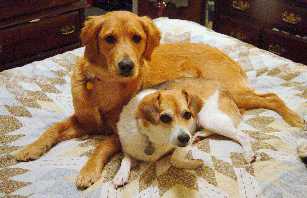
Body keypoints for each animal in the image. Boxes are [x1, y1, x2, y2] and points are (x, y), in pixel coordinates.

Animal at [113, 77, 255, 187]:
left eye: (187, 115)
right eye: (165, 118)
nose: (186, 138)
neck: (154, 138)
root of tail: (221, 87)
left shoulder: (183, 145)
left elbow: (174, 160)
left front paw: (195, 163)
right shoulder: (128, 149)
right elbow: (125, 159)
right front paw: (120, 175)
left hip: (208, 118)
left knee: (242, 135)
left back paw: (249, 154)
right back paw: (199, 135)